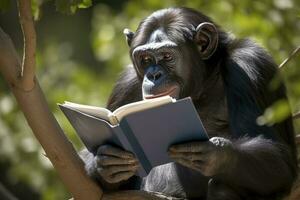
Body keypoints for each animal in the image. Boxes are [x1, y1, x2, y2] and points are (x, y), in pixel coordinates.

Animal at [80, 7, 298, 199]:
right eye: (145, 59)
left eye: (167, 56)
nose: (153, 75)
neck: (202, 83)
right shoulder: (125, 85)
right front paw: (105, 161)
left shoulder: (250, 64)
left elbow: (279, 158)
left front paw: (215, 154)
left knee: (223, 187)